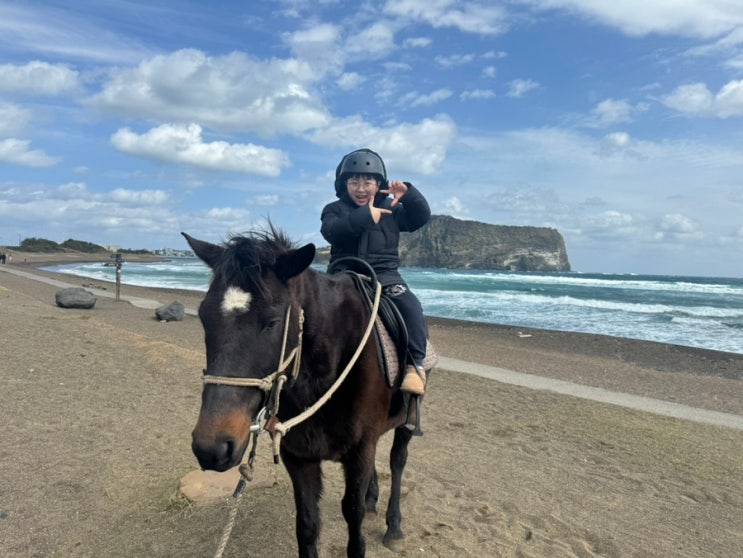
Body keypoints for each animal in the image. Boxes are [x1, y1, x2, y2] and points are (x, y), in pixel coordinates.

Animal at [185, 229, 424, 558]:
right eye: (203, 317)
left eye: (272, 322)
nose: (212, 447)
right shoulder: (298, 455)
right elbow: (308, 524)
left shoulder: (360, 450)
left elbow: (354, 517)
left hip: (406, 421)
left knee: (397, 461)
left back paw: (394, 524)